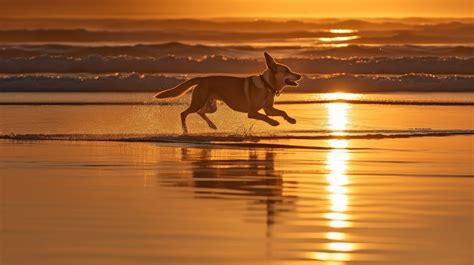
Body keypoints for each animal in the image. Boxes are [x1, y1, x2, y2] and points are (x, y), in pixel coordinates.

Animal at [156, 52, 304, 133]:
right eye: (287, 70)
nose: (300, 75)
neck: (267, 85)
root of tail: (202, 79)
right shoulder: (252, 113)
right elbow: (264, 117)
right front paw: (274, 123)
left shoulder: (269, 109)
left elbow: (282, 112)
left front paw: (290, 120)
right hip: (199, 101)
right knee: (184, 113)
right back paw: (185, 130)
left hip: (211, 105)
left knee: (200, 112)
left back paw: (212, 125)